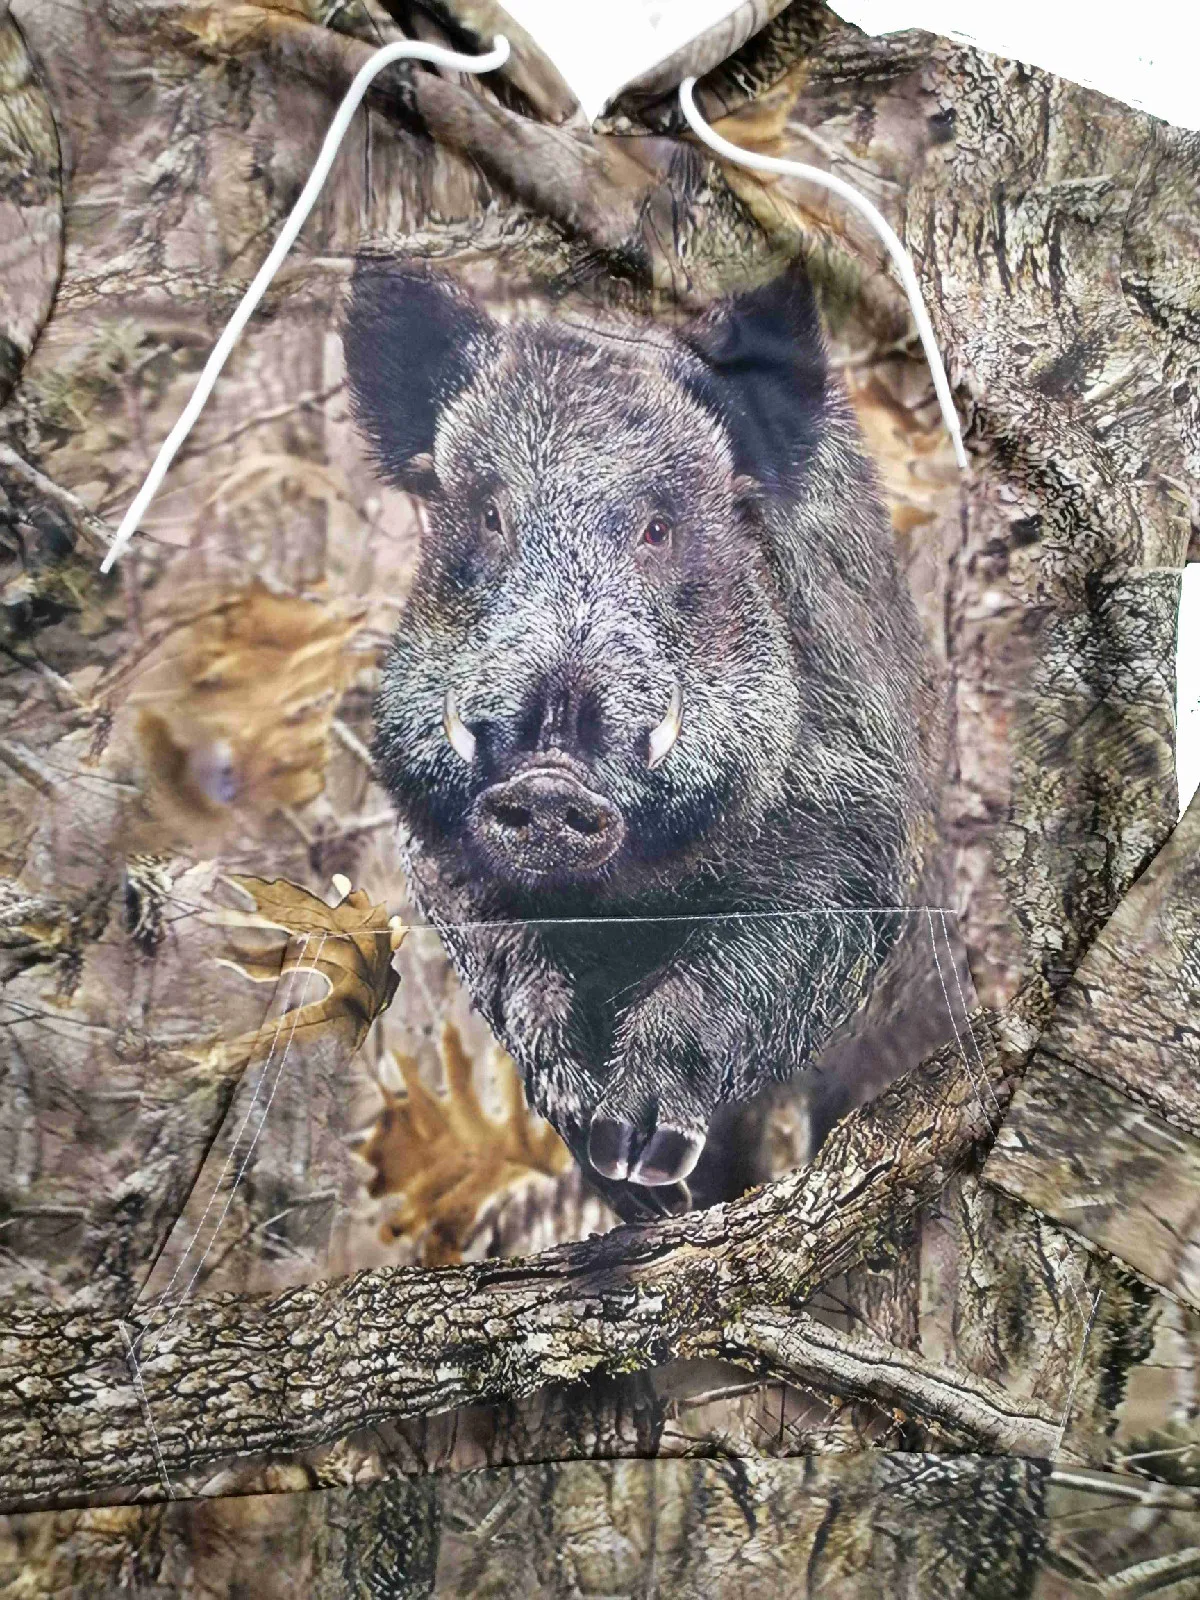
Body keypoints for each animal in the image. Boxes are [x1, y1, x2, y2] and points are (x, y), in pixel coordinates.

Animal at [343, 258, 941, 1215]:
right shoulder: (443, 851)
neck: (628, 893)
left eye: (659, 529)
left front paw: (645, 1156)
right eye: (491, 518)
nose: (548, 779)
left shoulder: (856, 829)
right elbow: (520, 978)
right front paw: (625, 1174)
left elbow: (743, 965)